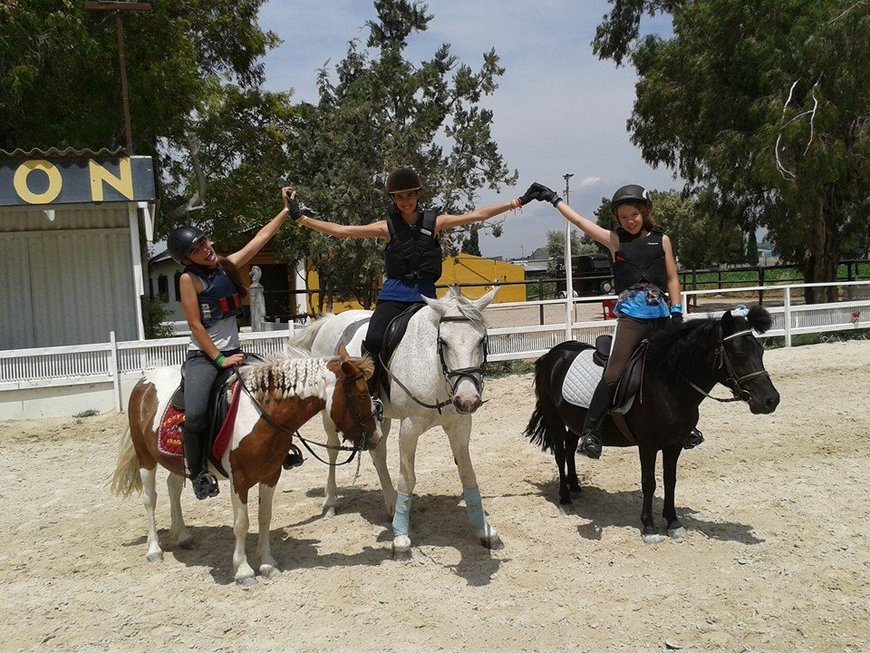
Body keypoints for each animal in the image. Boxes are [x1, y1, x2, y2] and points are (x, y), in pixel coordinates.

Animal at [110, 346, 380, 584]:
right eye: (361, 395)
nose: (376, 437)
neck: (261, 414)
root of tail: (144, 380)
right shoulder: (239, 480)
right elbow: (241, 524)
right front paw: (243, 570)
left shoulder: (271, 474)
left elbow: (264, 517)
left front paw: (267, 563)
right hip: (145, 457)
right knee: (150, 499)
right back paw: (154, 550)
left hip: (176, 460)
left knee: (173, 487)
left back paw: (183, 536)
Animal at [292, 286, 500, 560]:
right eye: (443, 342)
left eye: (481, 340)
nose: (467, 399)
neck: (434, 369)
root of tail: (329, 321)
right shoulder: (410, 428)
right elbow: (407, 479)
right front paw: (401, 539)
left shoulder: (459, 426)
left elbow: (468, 476)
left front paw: (483, 530)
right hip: (331, 414)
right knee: (332, 450)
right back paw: (331, 502)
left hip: (379, 416)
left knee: (377, 452)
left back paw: (391, 504)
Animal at [524, 308, 784, 544]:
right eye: (739, 354)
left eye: (761, 351)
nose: (771, 400)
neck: (669, 385)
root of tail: (553, 354)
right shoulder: (647, 445)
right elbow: (649, 483)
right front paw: (649, 527)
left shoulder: (675, 444)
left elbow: (670, 480)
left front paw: (673, 522)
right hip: (555, 419)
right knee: (560, 454)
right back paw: (565, 498)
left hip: (574, 423)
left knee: (569, 448)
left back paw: (576, 486)